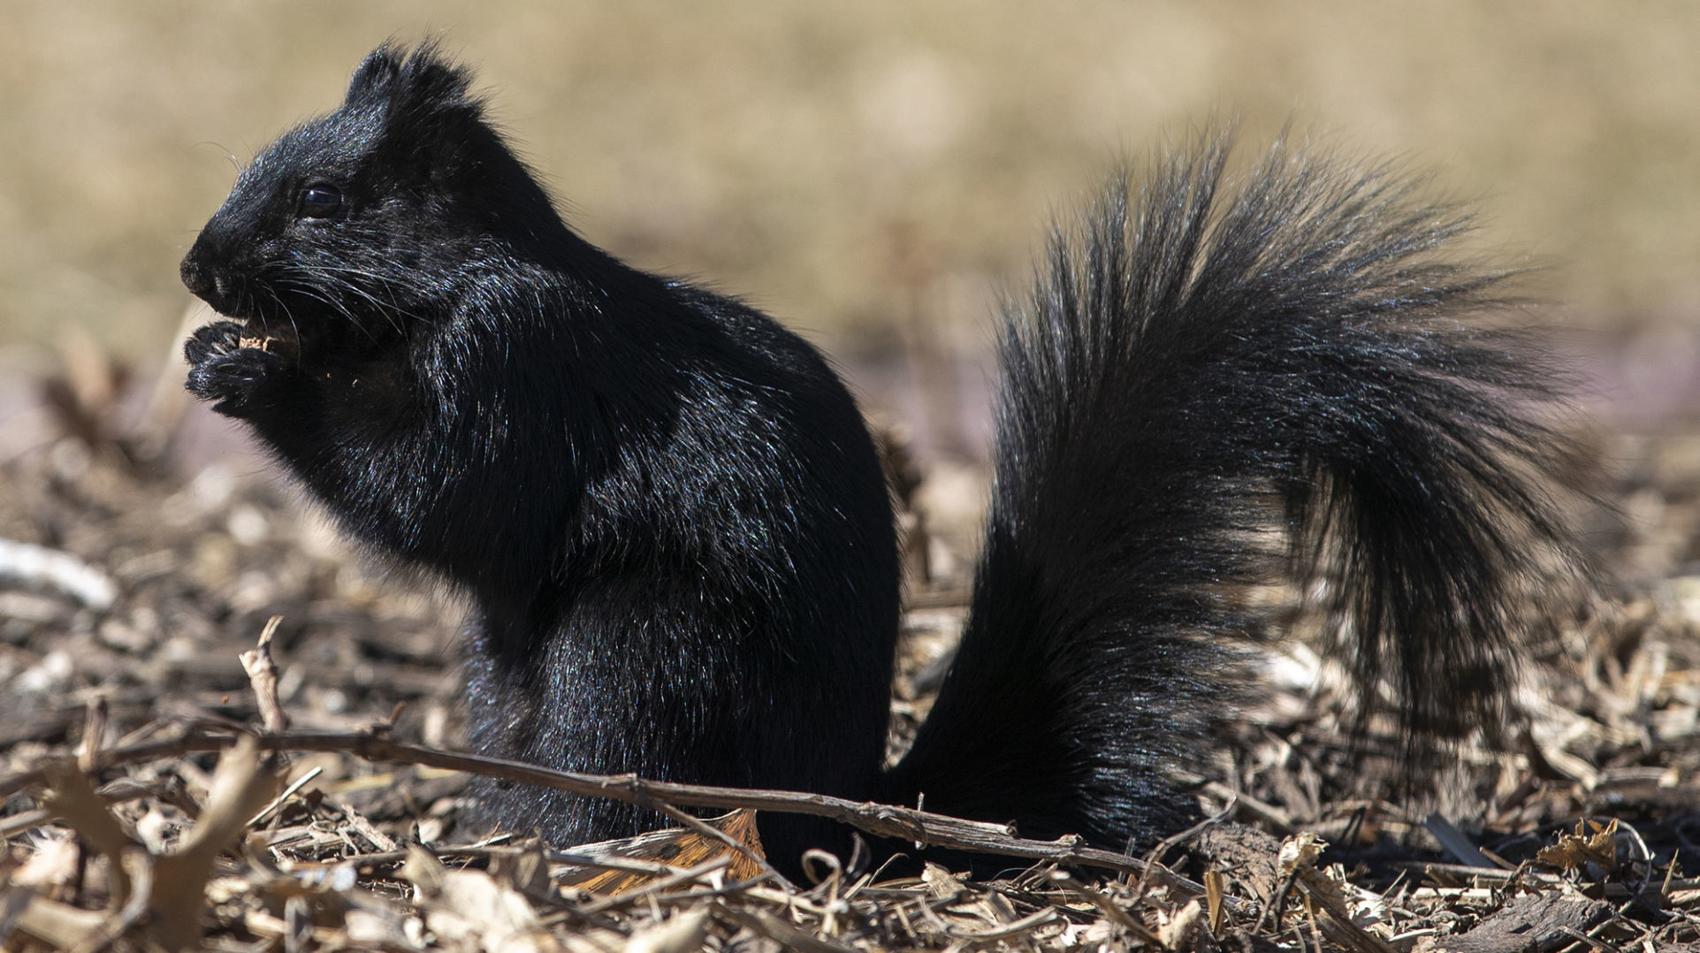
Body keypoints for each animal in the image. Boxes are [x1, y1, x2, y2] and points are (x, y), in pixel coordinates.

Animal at [180, 42, 1586, 871]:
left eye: (323, 202)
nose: (197, 267)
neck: (454, 278)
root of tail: (851, 807)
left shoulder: (519, 362)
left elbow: (444, 501)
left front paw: (253, 374)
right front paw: (213, 347)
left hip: (636, 656)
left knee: (622, 771)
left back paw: (580, 852)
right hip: (507, 672)